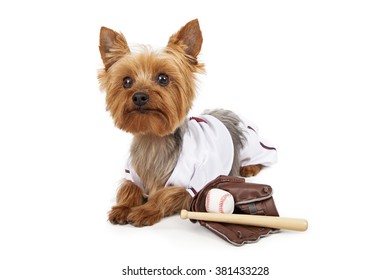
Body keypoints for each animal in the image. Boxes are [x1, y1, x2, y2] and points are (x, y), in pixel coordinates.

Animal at [97, 18, 276, 226]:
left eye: (163, 78)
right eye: (126, 81)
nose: (139, 96)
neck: (153, 139)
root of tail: (227, 111)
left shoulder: (194, 186)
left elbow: (167, 193)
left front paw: (145, 210)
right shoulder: (132, 174)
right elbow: (128, 187)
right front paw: (123, 207)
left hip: (252, 145)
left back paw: (249, 167)